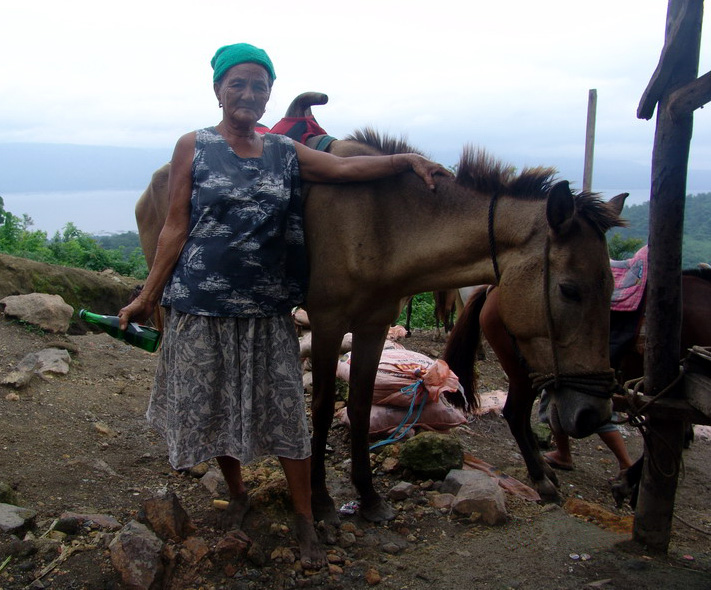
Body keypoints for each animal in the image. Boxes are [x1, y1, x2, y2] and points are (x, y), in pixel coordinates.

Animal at [444, 268, 711, 504]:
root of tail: (492, 291)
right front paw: (626, 484)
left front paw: (629, 484)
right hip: (522, 371)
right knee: (515, 415)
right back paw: (542, 480)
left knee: (523, 418)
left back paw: (545, 470)